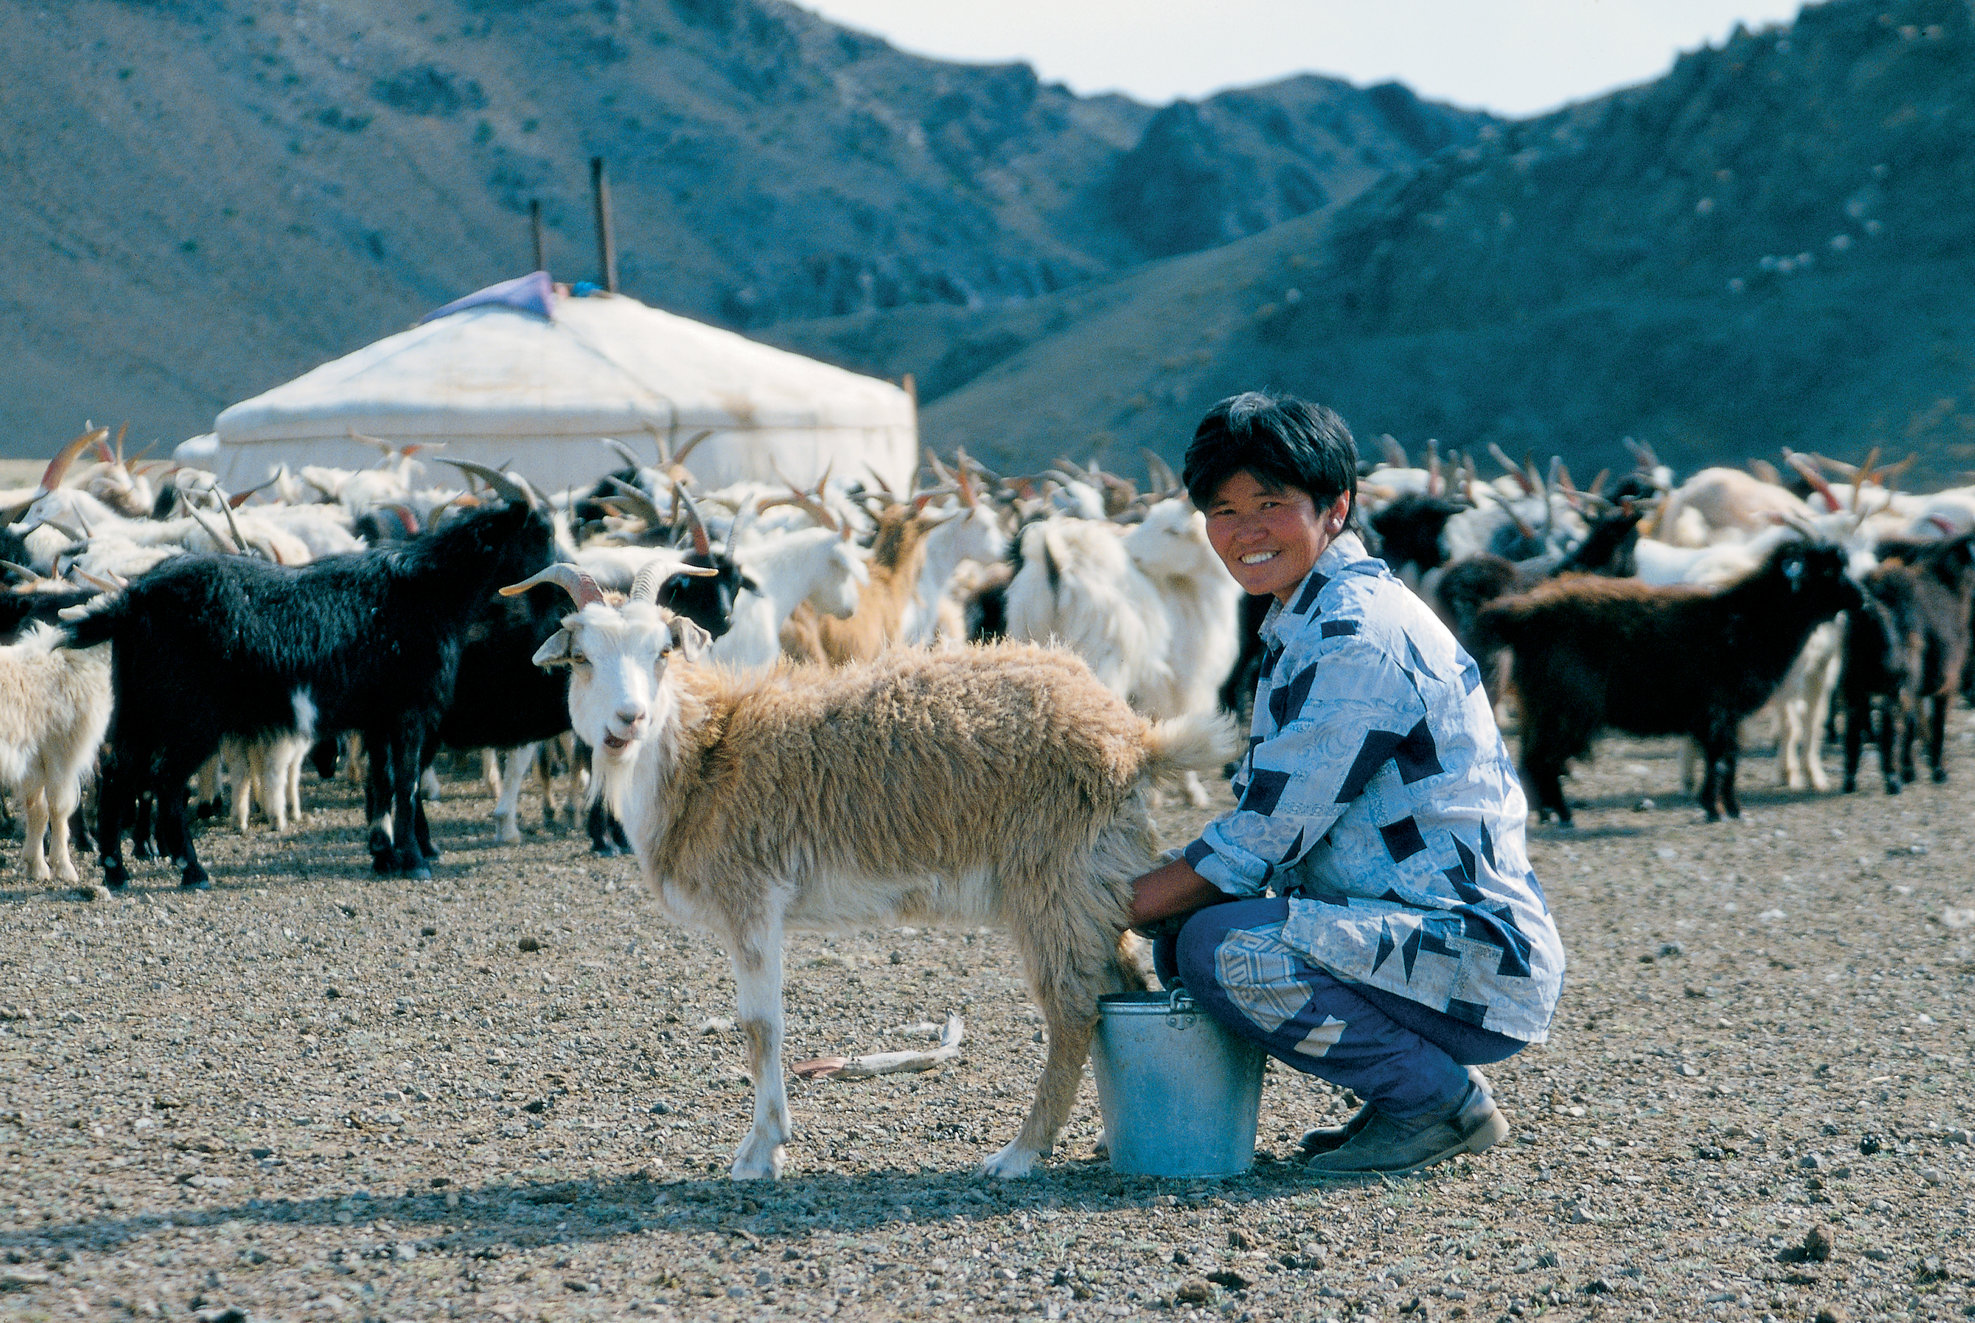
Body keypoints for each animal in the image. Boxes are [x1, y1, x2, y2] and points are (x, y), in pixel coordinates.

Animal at [66, 466, 553, 892]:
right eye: (542, 533)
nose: (554, 610)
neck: (428, 590)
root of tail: (133, 599)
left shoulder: (378, 719)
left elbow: (382, 781)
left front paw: (384, 854)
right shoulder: (409, 713)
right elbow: (406, 780)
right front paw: (414, 861)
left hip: (140, 712)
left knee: (119, 775)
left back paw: (116, 871)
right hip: (189, 718)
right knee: (165, 783)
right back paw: (192, 871)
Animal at [501, 560, 1224, 1184]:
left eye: (662, 651)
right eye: (582, 657)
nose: (630, 720)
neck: (707, 750)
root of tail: (1132, 738)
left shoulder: (751, 899)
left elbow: (761, 1027)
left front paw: (760, 1151)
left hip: (1050, 877)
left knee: (1074, 1007)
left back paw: (1018, 1153)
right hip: (1094, 876)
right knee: (1122, 980)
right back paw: (1104, 1135)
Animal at [1485, 541, 1864, 829]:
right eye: (1826, 571)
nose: (1862, 600)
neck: (1748, 619)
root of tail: (1525, 614)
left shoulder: (1721, 718)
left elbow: (1724, 762)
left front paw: (1724, 809)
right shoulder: (1719, 713)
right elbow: (1723, 762)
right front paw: (1722, 810)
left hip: (1541, 710)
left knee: (1530, 761)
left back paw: (1547, 814)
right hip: (1566, 711)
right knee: (1542, 762)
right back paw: (1563, 816)